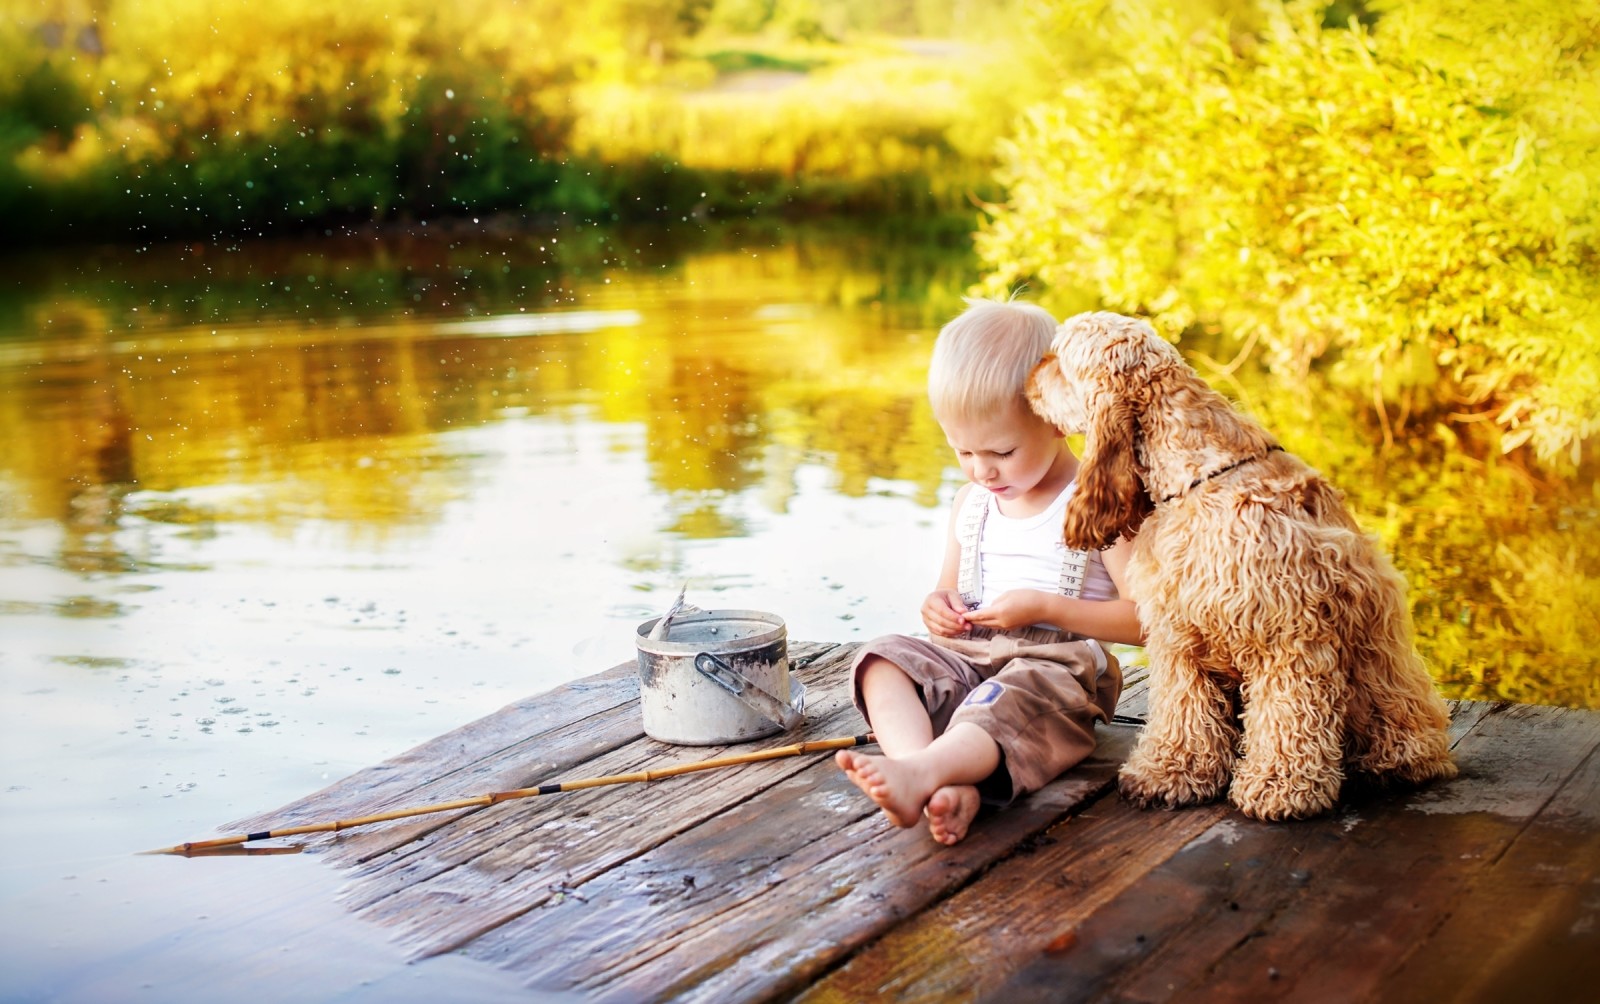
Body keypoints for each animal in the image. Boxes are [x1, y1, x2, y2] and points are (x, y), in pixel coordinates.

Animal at [1030, 313, 1459, 824]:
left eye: (1058, 359)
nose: (1028, 380)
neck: (1198, 475)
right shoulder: (1179, 634)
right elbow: (1182, 710)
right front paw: (1171, 771)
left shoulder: (1287, 634)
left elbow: (1286, 717)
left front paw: (1281, 787)